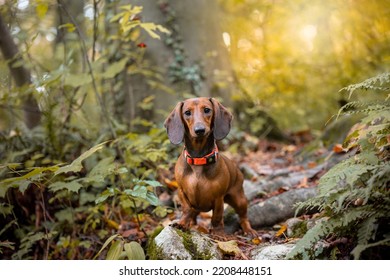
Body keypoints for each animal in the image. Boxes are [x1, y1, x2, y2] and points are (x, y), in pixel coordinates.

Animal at [164, 97, 256, 235]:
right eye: (187, 112)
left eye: (207, 110)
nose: (200, 130)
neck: (199, 159)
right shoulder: (181, 192)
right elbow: (187, 209)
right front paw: (183, 224)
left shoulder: (218, 198)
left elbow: (217, 217)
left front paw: (218, 234)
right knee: (193, 214)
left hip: (239, 199)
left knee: (243, 216)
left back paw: (248, 229)